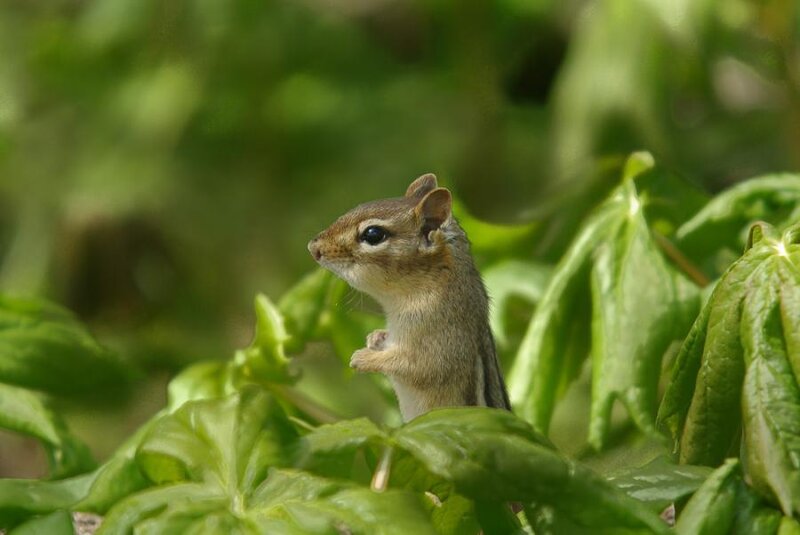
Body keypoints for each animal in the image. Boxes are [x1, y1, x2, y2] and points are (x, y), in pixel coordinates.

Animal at [307, 174, 511, 421]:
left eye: (373, 234)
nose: (313, 248)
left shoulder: (439, 339)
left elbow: (415, 366)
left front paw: (362, 358)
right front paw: (375, 338)